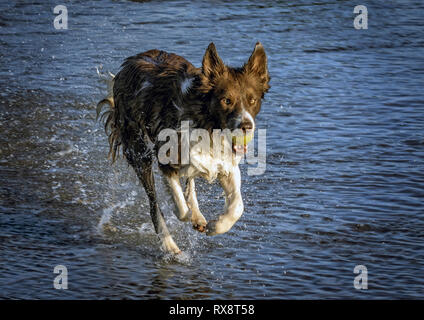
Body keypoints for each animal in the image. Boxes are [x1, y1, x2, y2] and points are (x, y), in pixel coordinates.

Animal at [97, 42, 270, 254]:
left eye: (252, 100)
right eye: (226, 100)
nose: (246, 126)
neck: (207, 124)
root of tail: (128, 63)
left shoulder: (226, 164)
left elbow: (237, 206)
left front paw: (216, 226)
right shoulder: (166, 158)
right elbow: (179, 207)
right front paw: (187, 215)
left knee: (189, 180)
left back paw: (197, 214)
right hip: (138, 150)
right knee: (154, 204)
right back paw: (170, 244)